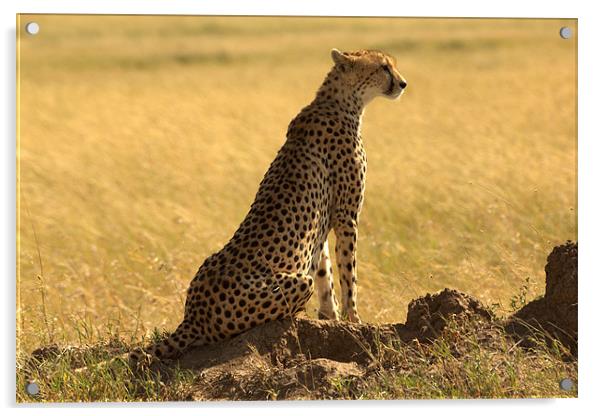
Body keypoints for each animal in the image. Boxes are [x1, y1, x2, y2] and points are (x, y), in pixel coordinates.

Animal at [133, 48, 406, 362]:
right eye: (384, 67)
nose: (403, 83)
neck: (341, 101)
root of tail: (194, 316)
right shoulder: (346, 217)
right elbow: (349, 275)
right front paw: (355, 321)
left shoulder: (323, 226)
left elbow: (325, 273)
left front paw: (331, 319)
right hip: (295, 283)